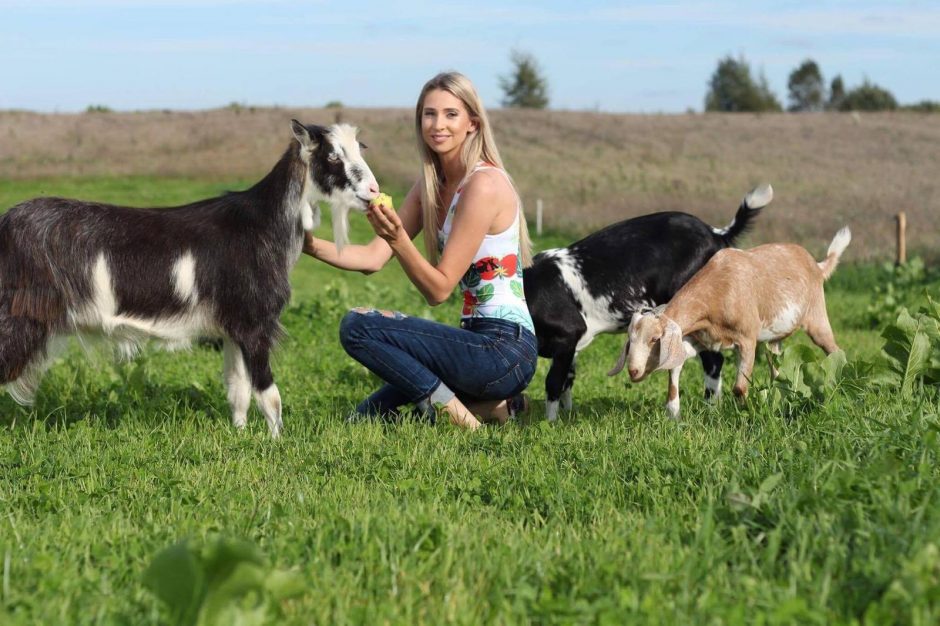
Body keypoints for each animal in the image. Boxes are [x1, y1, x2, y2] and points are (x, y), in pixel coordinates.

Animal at [0, 119, 374, 436]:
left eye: (360, 149)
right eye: (332, 155)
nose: (372, 189)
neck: (262, 224)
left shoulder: (233, 327)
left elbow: (238, 389)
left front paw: (241, 435)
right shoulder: (254, 323)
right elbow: (269, 394)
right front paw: (277, 442)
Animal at [520, 184, 772, 420]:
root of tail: (716, 233)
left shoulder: (567, 335)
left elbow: (554, 382)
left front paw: (551, 422)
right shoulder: (573, 346)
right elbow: (568, 380)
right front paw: (567, 414)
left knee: (713, 360)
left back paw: (709, 406)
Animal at [608, 227, 852, 416]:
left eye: (654, 339)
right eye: (630, 339)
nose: (633, 371)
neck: (718, 290)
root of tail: (817, 265)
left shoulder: (747, 340)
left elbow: (739, 388)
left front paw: (746, 414)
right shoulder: (702, 340)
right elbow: (676, 365)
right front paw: (673, 413)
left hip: (817, 316)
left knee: (834, 350)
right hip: (774, 338)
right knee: (777, 368)